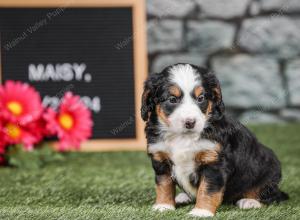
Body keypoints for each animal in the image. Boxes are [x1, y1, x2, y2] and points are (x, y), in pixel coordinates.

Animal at [142, 64, 290, 218]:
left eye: (201, 98)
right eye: (172, 99)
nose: (190, 122)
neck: (183, 137)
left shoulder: (214, 162)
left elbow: (207, 189)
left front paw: (201, 211)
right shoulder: (160, 158)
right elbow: (164, 185)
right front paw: (163, 206)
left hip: (270, 170)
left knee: (271, 194)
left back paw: (250, 201)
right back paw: (183, 196)